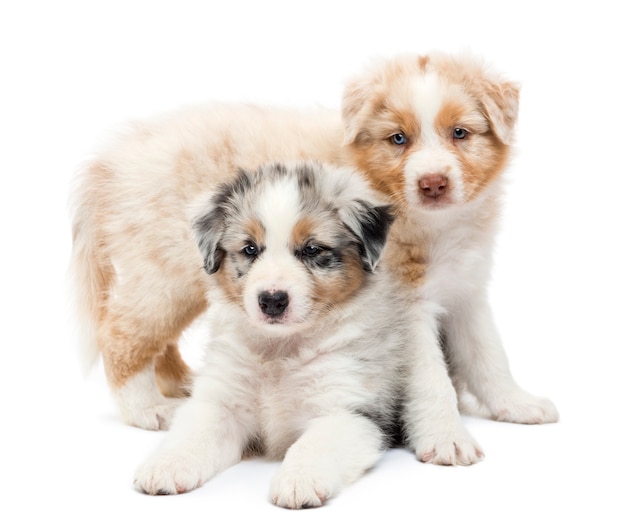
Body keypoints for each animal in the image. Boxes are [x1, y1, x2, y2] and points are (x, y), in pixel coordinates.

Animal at [131, 163, 404, 510]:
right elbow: (192, 433)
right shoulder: (222, 403)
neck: (279, 349)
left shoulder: (352, 410)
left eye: (312, 249)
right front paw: (167, 466)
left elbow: (315, 443)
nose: (272, 300)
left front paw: (300, 480)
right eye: (249, 248)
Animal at [344, 52, 560, 466]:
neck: (436, 227)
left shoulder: (466, 289)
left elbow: (488, 352)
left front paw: (515, 403)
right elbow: (431, 376)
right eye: (399, 138)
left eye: (460, 133)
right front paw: (447, 436)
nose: (432, 184)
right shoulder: (405, 308)